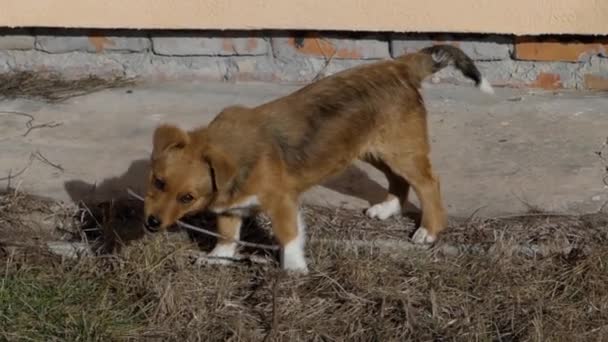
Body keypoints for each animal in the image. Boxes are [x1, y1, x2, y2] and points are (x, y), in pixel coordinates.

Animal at [144, 44, 494, 272]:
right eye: (158, 182)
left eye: (187, 197)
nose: (150, 224)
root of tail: (398, 66)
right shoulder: (230, 206)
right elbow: (227, 234)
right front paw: (219, 257)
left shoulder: (282, 201)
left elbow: (288, 237)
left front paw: (294, 272)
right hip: (371, 148)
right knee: (398, 181)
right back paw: (387, 209)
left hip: (401, 150)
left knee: (429, 183)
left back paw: (429, 230)